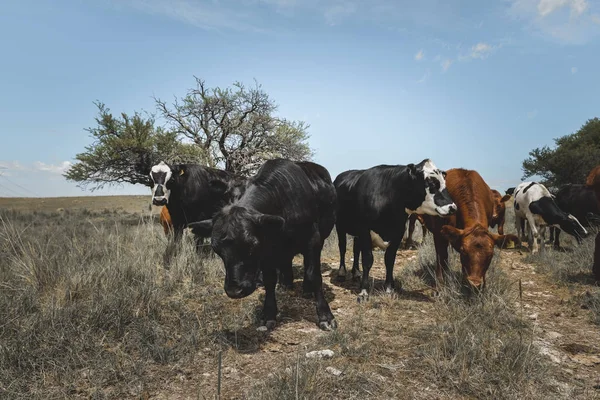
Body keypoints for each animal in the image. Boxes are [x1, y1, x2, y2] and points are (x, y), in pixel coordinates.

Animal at [189, 159, 338, 332]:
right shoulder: (268, 250)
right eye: (217, 249)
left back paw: (306, 289)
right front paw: (268, 315)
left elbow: (315, 275)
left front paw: (325, 316)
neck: (282, 202)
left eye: (252, 245)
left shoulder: (313, 240)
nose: (234, 290)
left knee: (308, 267)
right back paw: (286, 284)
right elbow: (269, 280)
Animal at [332, 159, 454, 300]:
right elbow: (367, 260)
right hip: (340, 226)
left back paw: (356, 273)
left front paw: (389, 288)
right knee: (342, 247)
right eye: (431, 183)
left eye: (444, 182)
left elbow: (389, 260)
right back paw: (342, 273)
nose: (453, 207)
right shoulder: (365, 231)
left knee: (356, 249)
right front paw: (364, 291)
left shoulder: (398, 233)